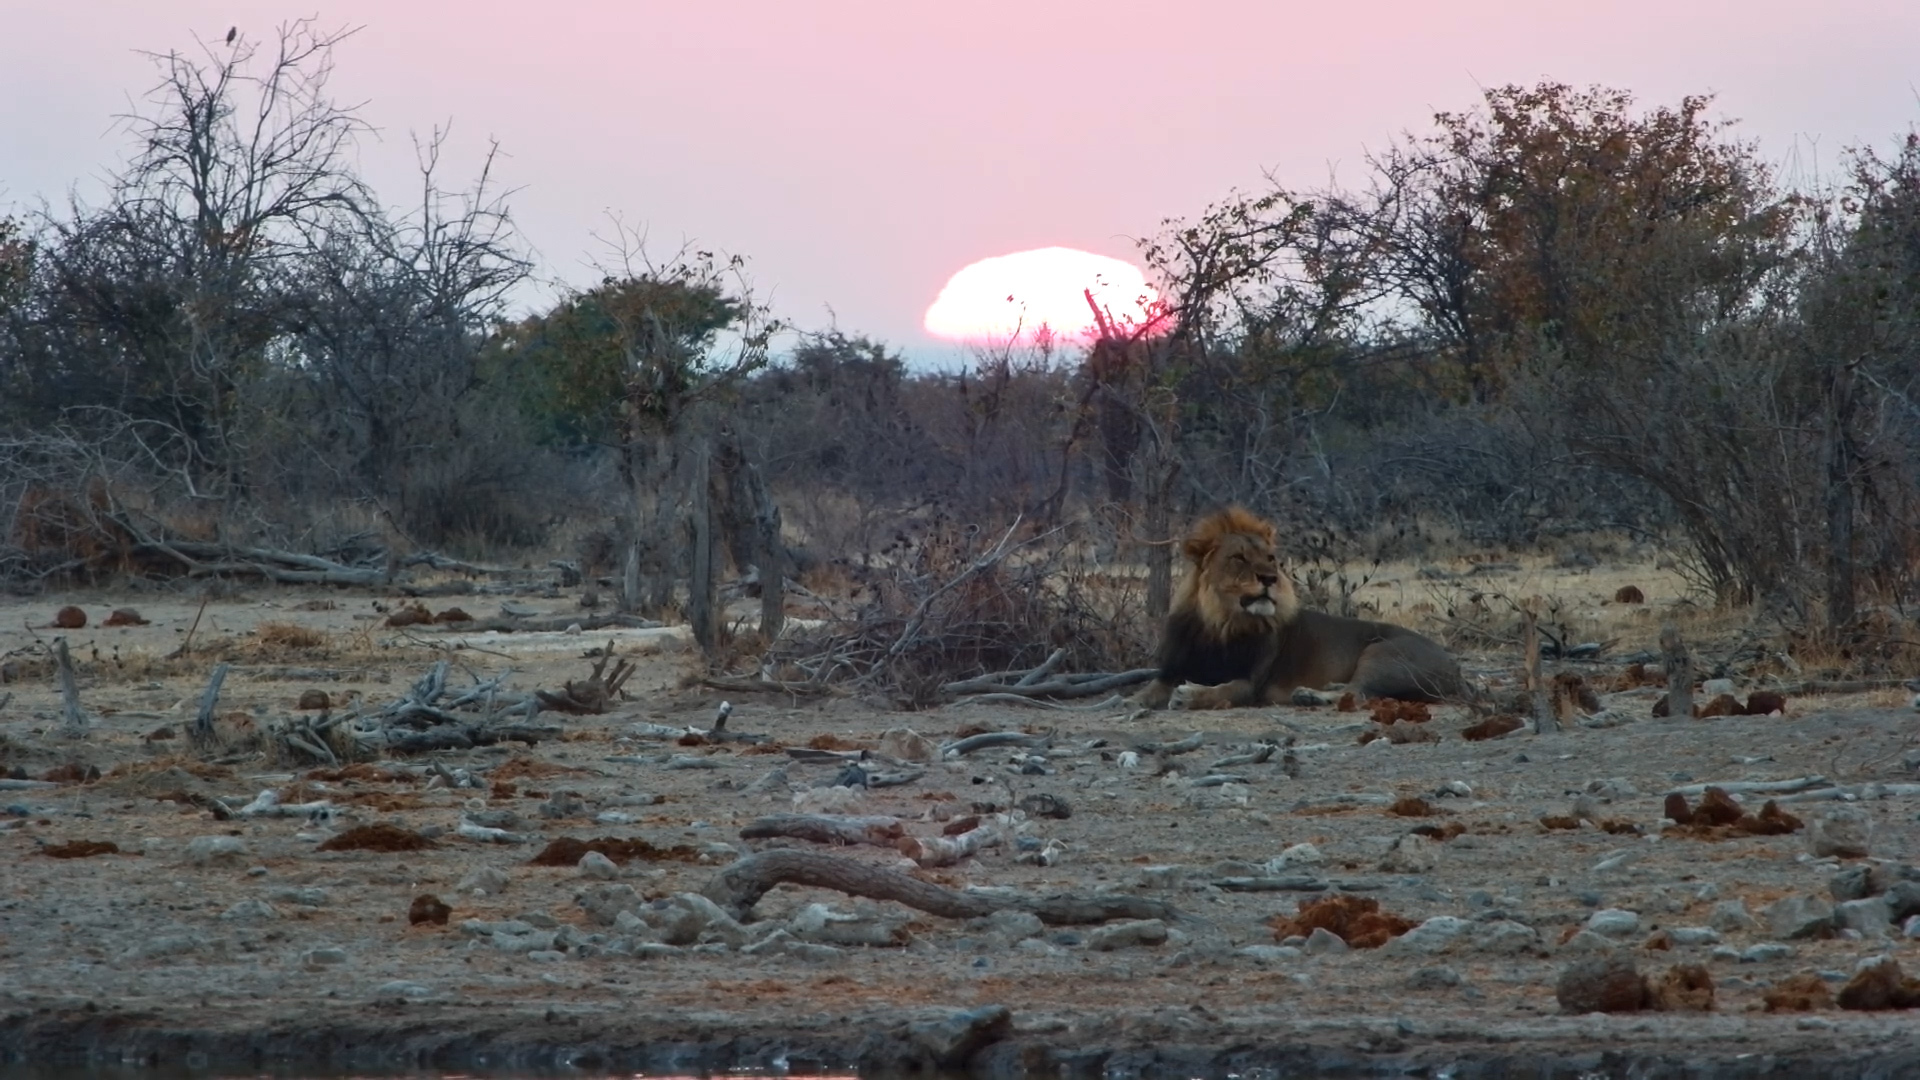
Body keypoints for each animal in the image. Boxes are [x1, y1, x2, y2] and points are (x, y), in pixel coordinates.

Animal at [1134, 507, 1466, 709]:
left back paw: (1309, 695)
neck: (1219, 624)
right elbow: (1147, 691)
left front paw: (1188, 695)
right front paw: (1135, 701)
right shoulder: (1171, 670)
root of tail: (1456, 670)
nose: (1270, 578)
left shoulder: (1252, 684)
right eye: (1239, 558)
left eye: (1269, 558)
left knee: (1357, 692)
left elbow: (1221, 691)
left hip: (1383, 654)